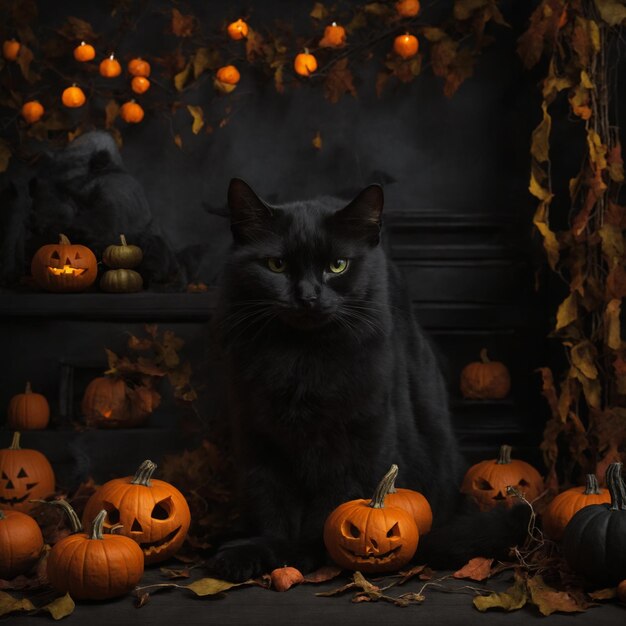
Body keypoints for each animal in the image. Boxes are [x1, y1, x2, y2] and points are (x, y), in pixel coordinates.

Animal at [208, 178, 528, 576]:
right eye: (276, 265)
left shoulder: (359, 437)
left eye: (337, 265)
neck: (302, 358)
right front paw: (260, 553)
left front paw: (303, 555)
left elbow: (331, 510)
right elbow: (271, 505)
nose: (308, 296)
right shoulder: (259, 438)